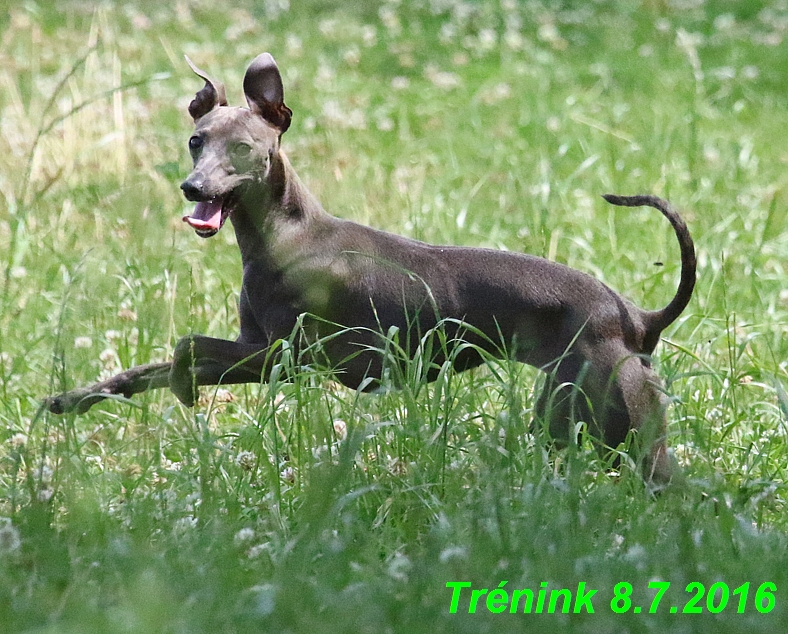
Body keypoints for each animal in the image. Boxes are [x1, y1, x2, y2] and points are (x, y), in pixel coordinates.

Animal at [46, 51, 696, 482]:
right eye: (196, 140)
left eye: (243, 149)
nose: (193, 189)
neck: (287, 235)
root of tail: (636, 316)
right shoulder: (252, 349)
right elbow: (146, 368)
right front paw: (74, 399)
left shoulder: (279, 359)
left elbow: (183, 348)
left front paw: (180, 387)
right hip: (564, 419)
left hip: (620, 430)